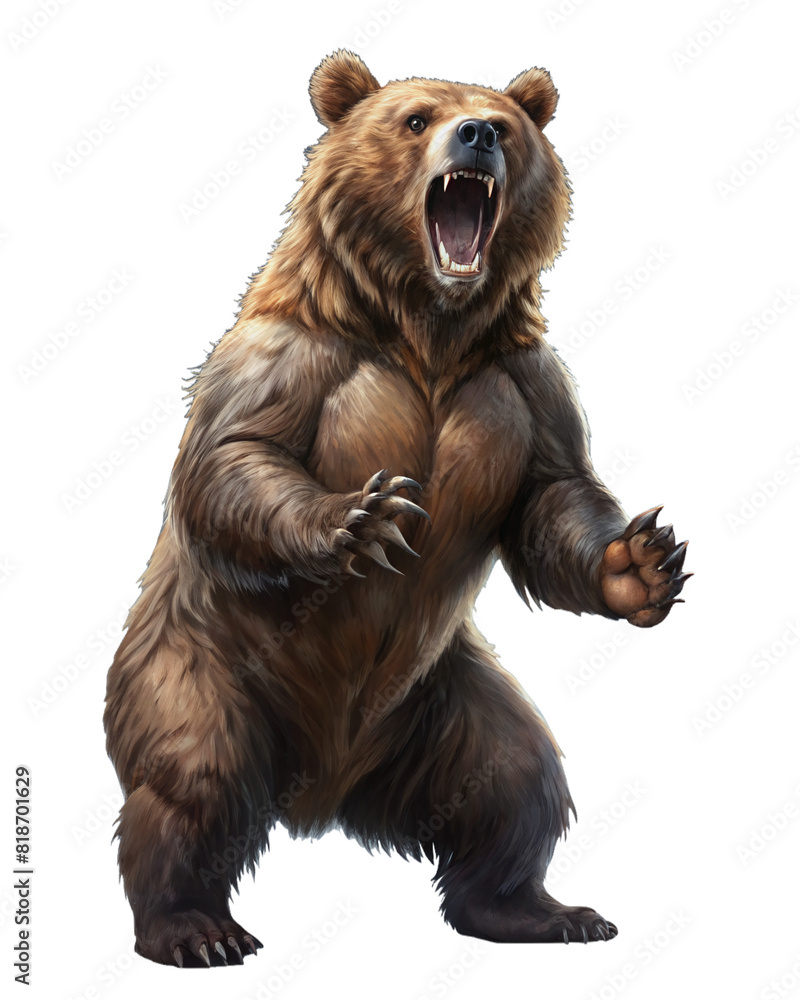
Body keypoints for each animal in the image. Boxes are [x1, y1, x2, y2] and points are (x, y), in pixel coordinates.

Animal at [104, 50, 691, 967]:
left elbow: (553, 493)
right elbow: (234, 459)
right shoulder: (290, 358)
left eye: (507, 124)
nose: (477, 133)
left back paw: (543, 911)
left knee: (517, 778)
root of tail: (318, 796)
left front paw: (640, 563)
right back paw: (195, 927)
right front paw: (360, 519)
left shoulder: (524, 385)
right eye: (416, 119)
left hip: (443, 700)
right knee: (191, 776)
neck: (427, 332)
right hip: (204, 664)